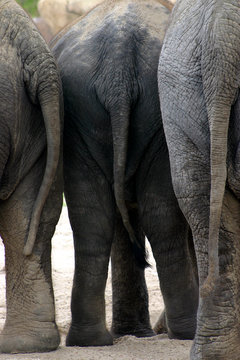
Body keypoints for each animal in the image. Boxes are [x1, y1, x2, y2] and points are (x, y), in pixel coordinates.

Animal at [51, 0, 199, 348]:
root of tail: (118, 66)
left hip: (80, 112)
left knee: (93, 219)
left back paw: (90, 340)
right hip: (158, 114)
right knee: (161, 217)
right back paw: (184, 332)